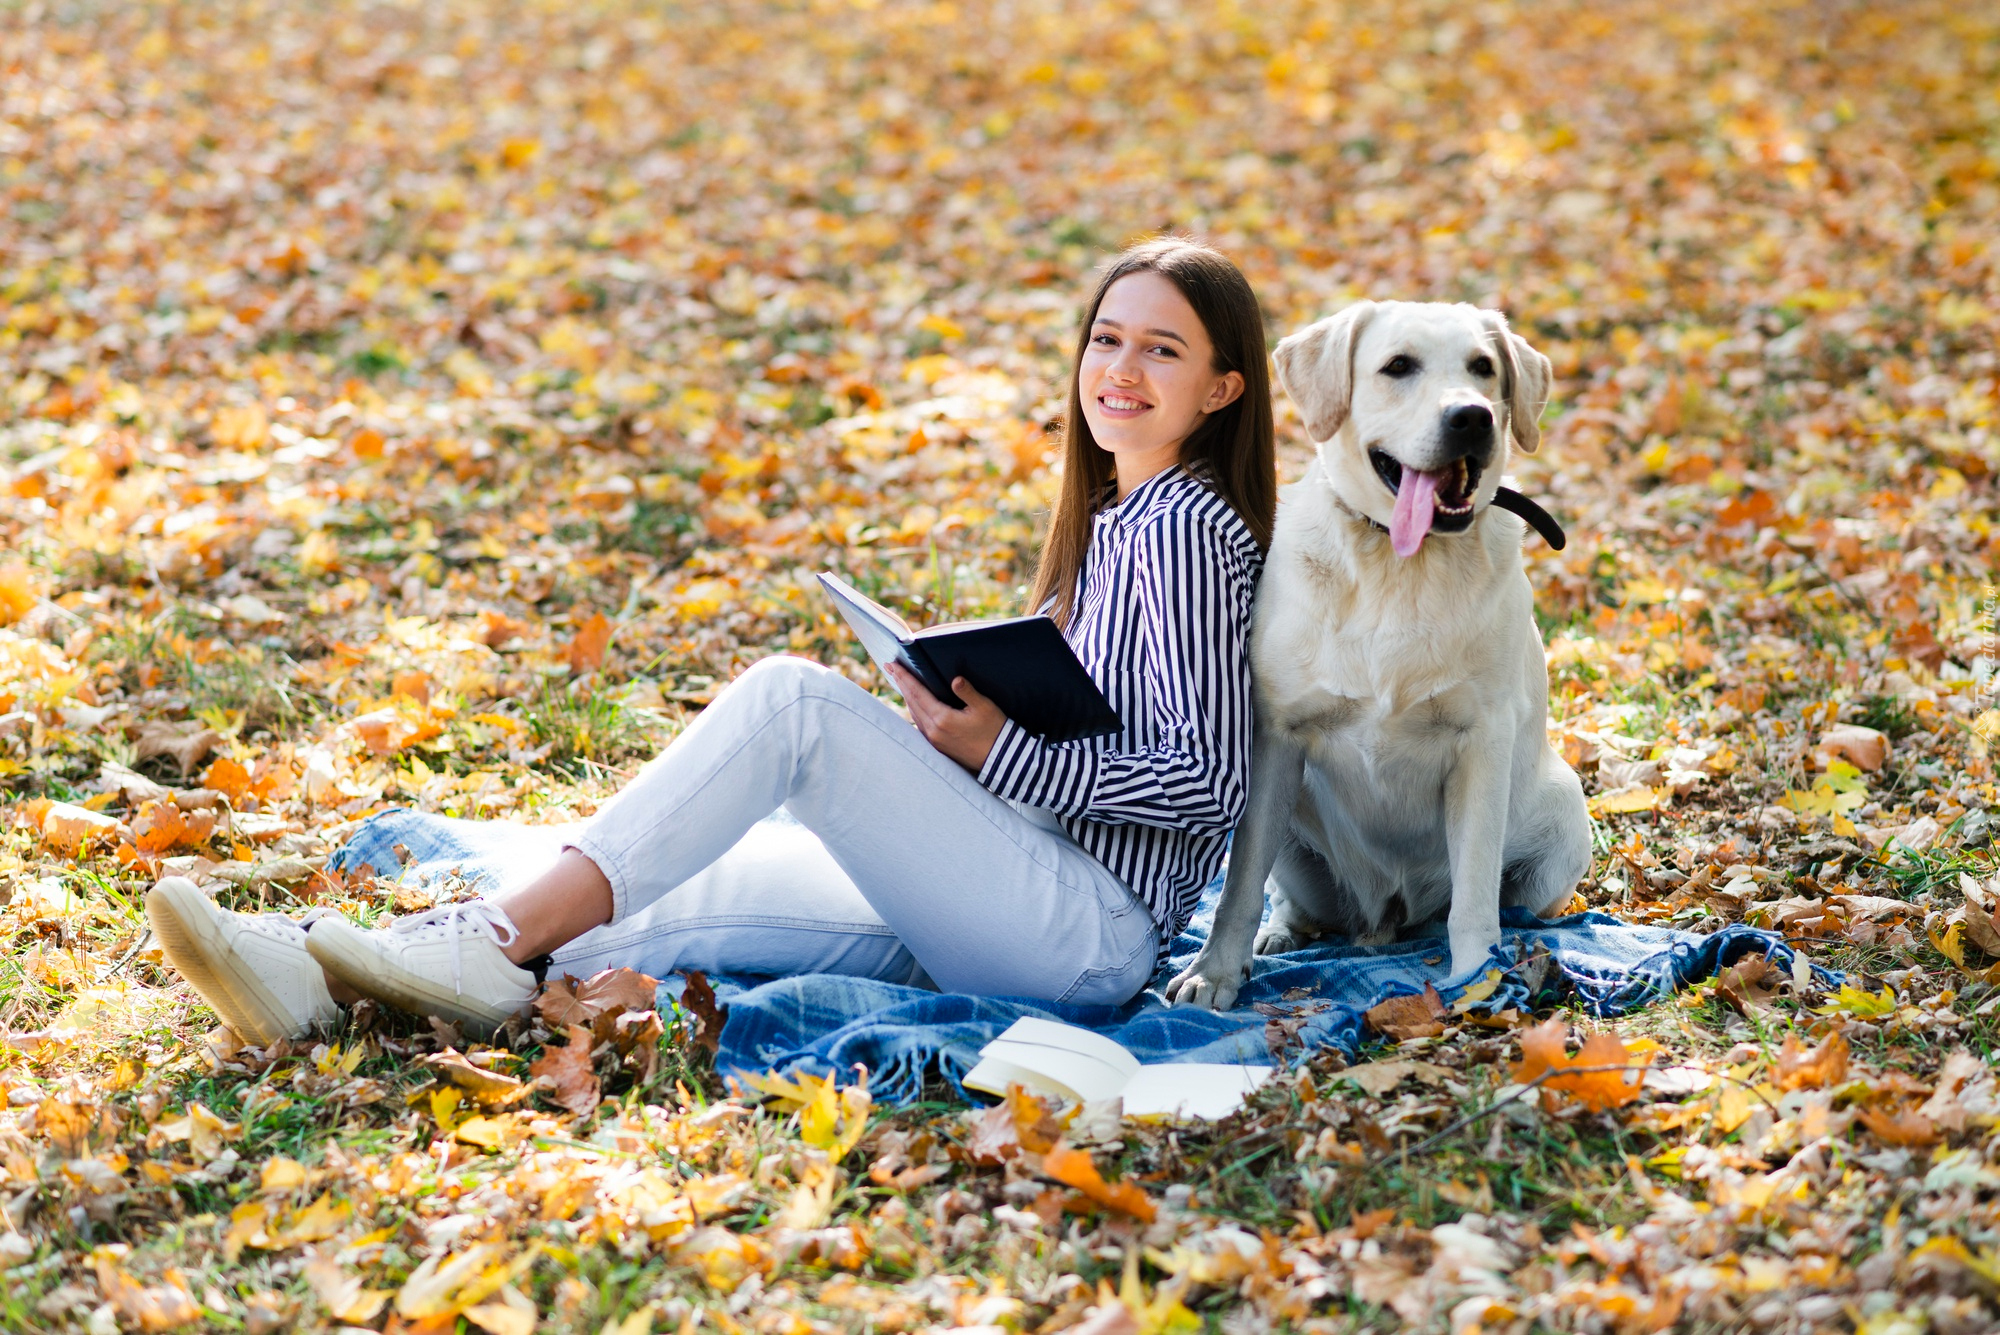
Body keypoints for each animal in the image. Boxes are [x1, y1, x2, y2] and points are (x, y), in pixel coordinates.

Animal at [1168, 301, 1584, 1011]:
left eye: (1483, 367)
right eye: (1398, 366)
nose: (1471, 416)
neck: (1399, 562)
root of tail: (1383, 922)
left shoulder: (1483, 741)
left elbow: (1474, 896)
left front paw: (1478, 980)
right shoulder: (1275, 736)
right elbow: (1239, 887)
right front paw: (1215, 970)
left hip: (1565, 822)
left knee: (1505, 903)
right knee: (1290, 898)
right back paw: (1281, 934)